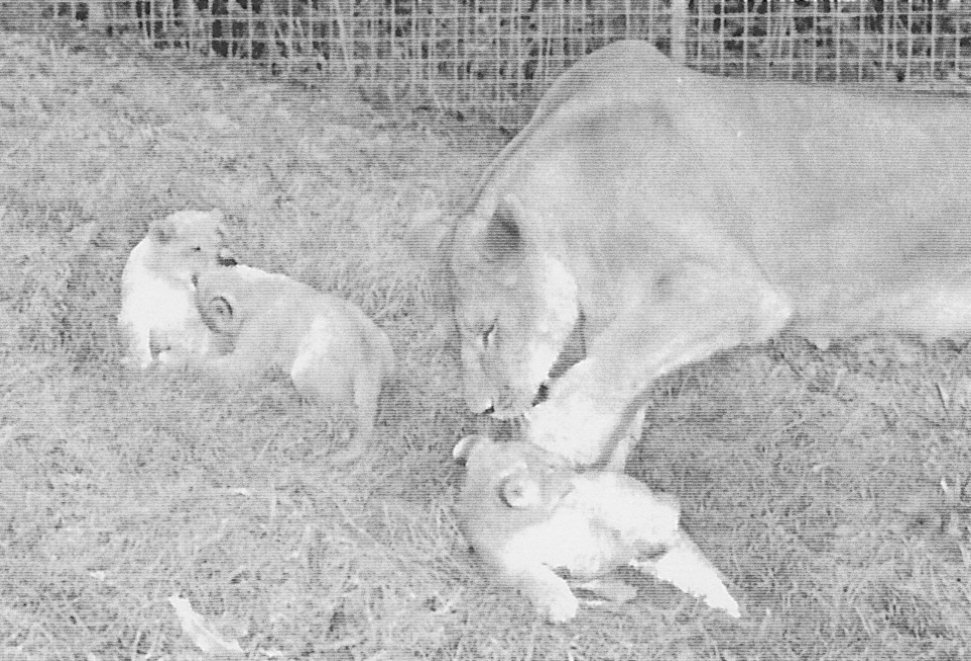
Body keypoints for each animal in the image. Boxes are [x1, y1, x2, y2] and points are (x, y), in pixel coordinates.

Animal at [118, 209, 237, 370]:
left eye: (220, 242)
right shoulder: (136, 313)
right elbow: (140, 345)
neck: (172, 283)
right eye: (196, 248)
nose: (229, 260)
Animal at [193, 267, 396, 460]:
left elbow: (214, 367)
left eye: (212, 324)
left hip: (303, 372)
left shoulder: (253, 345)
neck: (255, 288)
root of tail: (369, 360)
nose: (219, 339)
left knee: (343, 411)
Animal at [448, 39, 971, 469]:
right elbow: (623, 388)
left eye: (488, 331)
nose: (481, 408)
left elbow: (620, 356)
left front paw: (550, 442)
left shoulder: (735, 292)